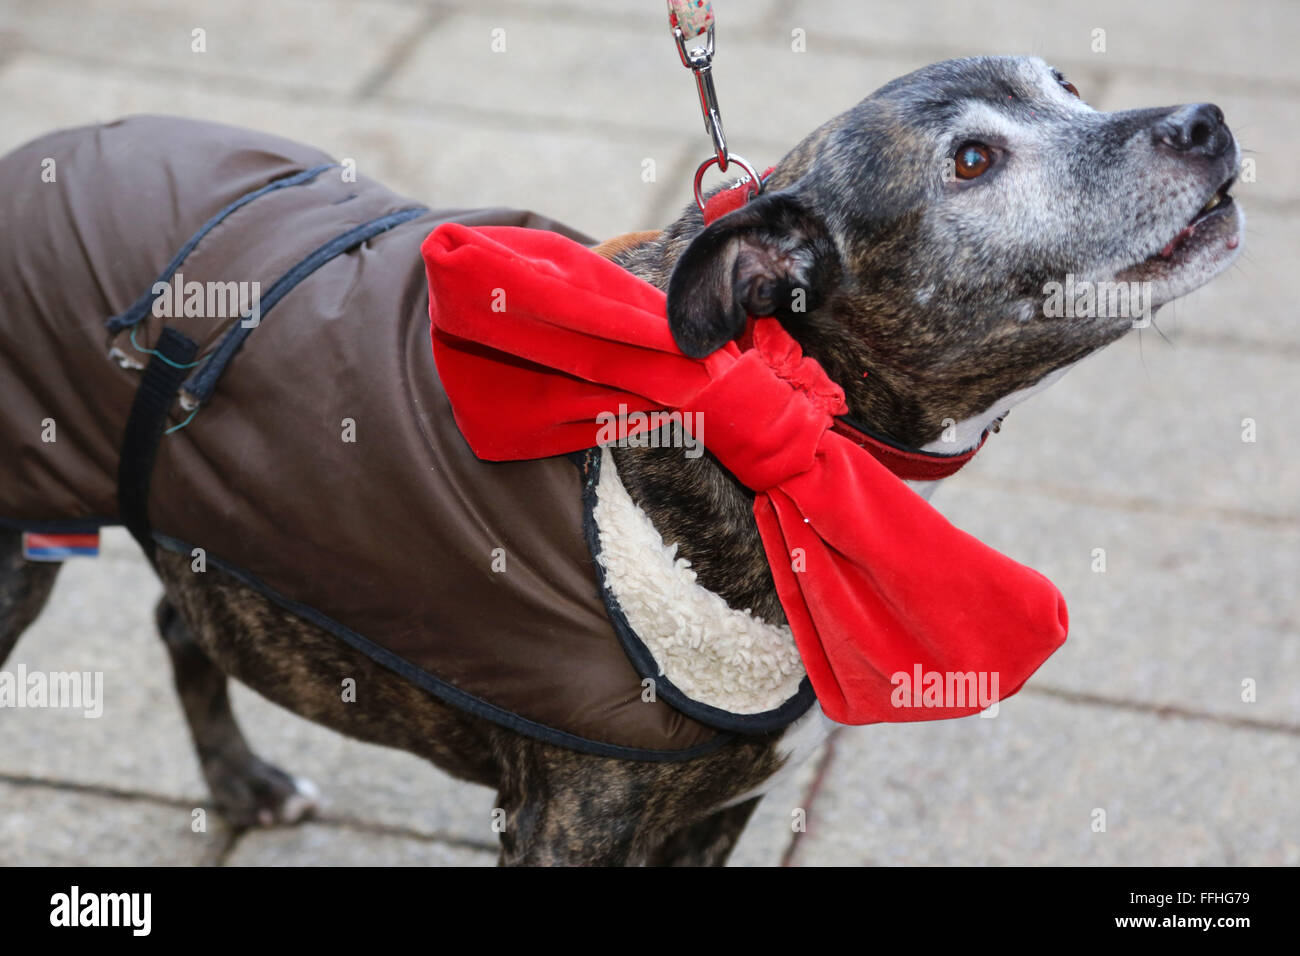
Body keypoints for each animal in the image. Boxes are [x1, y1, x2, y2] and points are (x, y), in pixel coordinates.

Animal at [0, 57, 1237, 868]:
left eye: (1067, 85)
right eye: (973, 160)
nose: (1206, 122)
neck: (769, 394)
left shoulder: (715, 814)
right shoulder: (571, 825)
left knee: (182, 623)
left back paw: (244, 785)